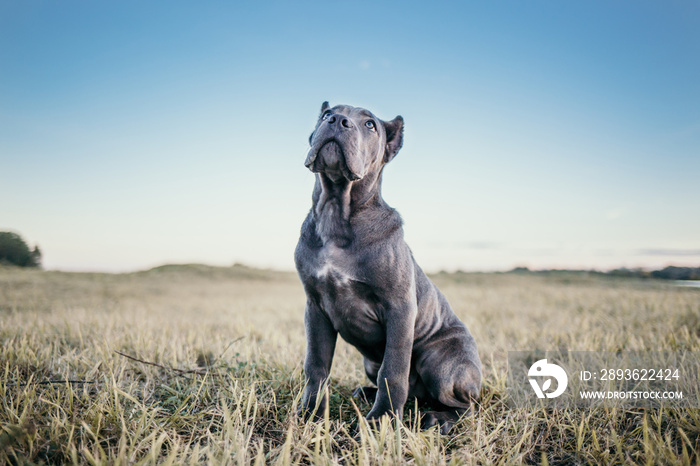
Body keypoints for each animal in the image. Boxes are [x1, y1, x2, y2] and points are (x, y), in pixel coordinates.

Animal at [294, 102, 482, 434]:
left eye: (370, 125)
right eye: (326, 114)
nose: (337, 121)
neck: (337, 212)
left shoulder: (400, 308)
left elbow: (392, 371)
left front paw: (380, 422)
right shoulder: (315, 308)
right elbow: (316, 365)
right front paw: (311, 414)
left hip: (440, 363)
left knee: (467, 406)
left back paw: (439, 418)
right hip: (370, 361)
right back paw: (366, 393)